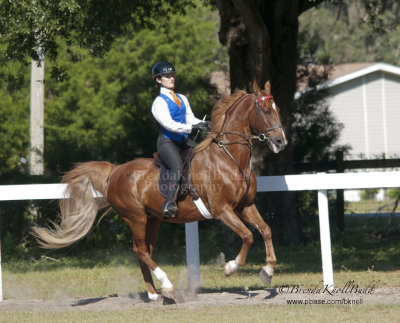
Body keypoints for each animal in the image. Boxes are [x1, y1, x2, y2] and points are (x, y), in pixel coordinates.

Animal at [31, 80, 288, 302]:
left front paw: (267, 272)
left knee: (145, 251)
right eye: (265, 111)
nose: (281, 142)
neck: (229, 158)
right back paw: (166, 285)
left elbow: (265, 230)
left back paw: (155, 293)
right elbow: (247, 235)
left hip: (153, 219)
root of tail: (115, 171)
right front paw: (230, 267)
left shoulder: (245, 206)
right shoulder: (221, 210)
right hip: (135, 217)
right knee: (140, 250)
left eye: (277, 108)